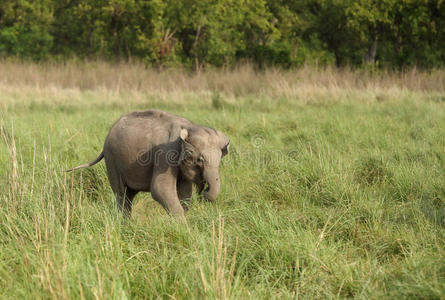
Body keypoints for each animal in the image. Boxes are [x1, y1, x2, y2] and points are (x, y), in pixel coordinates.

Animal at [68, 109, 232, 217]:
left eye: (220, 159)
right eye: (200, 160)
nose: (204, 192)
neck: (190, 127)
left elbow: (185, 193)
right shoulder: (166, 153)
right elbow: (159, 188)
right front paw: (184, 228)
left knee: (129, 195)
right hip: (112, 159)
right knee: (121, 193)